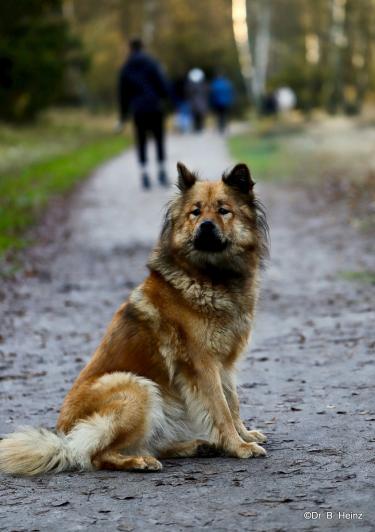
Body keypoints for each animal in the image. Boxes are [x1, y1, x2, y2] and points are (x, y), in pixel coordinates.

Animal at [0, 161, 270, 474]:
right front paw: (238, 446)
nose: (206, 226)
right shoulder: (202, 364)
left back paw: (194, 446)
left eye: (223, 210)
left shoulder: (224, 363)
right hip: (136, 387)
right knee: (98, 455)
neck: (210, 276)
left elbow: (233, 402)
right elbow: (221, 408)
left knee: (149, 443)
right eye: (196, 212)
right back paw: (139, 461)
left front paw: (244, 435)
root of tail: (65, 440)